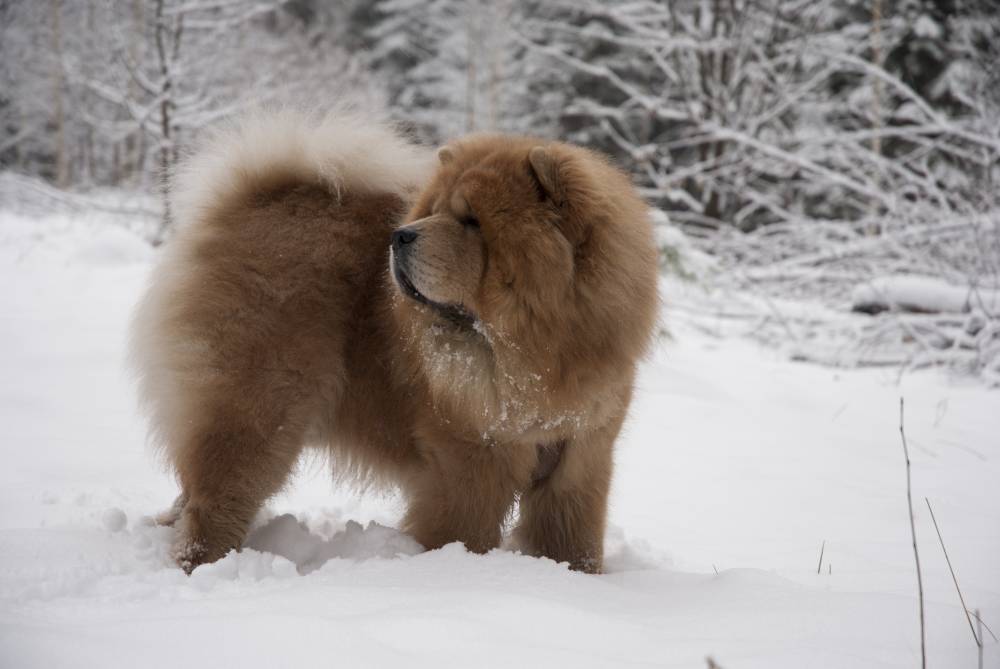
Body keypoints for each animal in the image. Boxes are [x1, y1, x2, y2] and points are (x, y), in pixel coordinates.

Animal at [135, 111, 664, 576]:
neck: (538, 350)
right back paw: (203, 567)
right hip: (257, 408)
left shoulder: (580, 455)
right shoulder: (470, 458)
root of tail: (248, 203)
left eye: (471, 221)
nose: (400, 235)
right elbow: (466, 533)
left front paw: (578, 579)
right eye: (434, 212)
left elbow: (573, 538)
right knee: (217, 498)